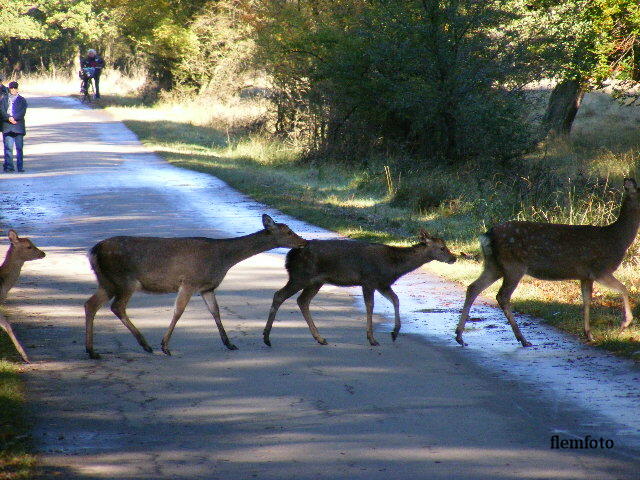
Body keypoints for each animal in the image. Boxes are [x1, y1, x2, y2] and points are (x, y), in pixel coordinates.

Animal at [84, 213, 308, 356]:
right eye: (288, 231)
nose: (304, 242)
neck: (223, 258)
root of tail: (93, 251)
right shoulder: (190, 281)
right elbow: (178, 311)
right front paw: (165, 346)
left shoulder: (207, 287)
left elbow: (216, 312)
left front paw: (229, 344)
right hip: (124, 280)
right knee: (116, 307)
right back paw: (145, 345)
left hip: (107, 281)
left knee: (90, 304)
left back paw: (92, 351)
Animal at [262, 231, 458, 346]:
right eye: (442, 247)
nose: (454, 258)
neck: (394, 265)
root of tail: (290, 255)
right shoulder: (369, 280)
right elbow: (370, 306)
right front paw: (372, 338)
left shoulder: (382, 283)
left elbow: (396, 300)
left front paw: (394, 332)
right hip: (300, 276)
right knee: (279, 295)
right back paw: (266, 337)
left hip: (316, 281)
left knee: (302, 301)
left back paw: (320, 338)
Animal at [458, 178, 636, 346]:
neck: (618, 239)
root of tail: (486, 235)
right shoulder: (600, 269)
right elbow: (623, 288)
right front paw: (624, 323)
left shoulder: (586, 276)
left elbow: (586, 300)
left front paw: (589, 335)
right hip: (513, 265)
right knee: (502, 295)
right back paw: (522, 339)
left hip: (493, 265)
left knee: (473, 287)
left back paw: (459, 336)